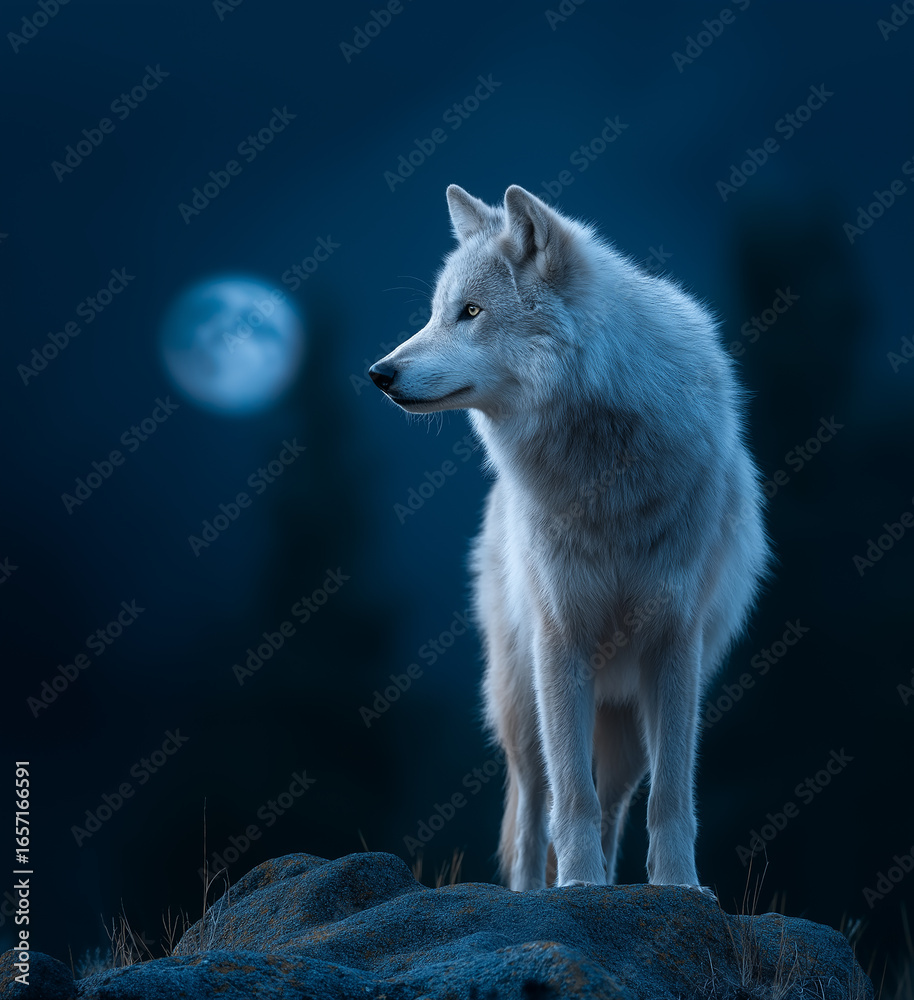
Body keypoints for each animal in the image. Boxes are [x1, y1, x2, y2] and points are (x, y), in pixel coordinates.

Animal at [370, 185, 771, 892]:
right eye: (437, 312)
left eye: (470, 312)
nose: (379, 372)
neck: (606, 471)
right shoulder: (560, 638)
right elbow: (568, 796)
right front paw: (579, 887)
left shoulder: (674, 644)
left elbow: (672, 796)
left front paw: (677, 888)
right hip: (520, 700)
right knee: (536, 808)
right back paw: (536, 892)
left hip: (626, 725)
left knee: (613, 803)